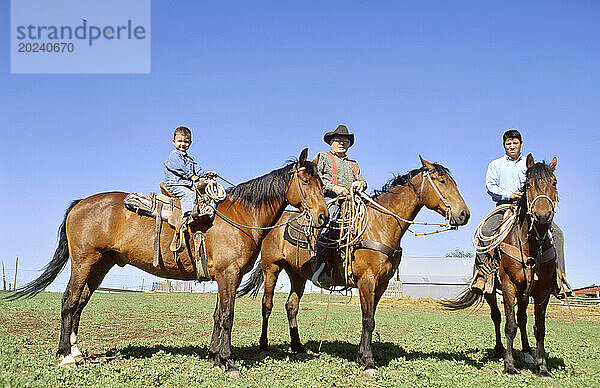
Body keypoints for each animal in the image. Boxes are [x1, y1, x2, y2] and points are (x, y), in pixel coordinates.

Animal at [5, 148, 328, 376]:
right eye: (305, 180)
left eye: (321, 183)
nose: (323, 216)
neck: (238, 216)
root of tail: (80, 203)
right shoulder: (229, 274)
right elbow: (227, 316)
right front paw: (227, 362)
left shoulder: (223, 277)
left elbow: (217, 315)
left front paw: (214, 357)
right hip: (84, 261)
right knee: (69, 301)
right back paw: (64, 356)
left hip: (100, 265)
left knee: (80, 303)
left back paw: (76, 351)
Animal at [238, 156, 468, 374]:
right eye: (441, 181)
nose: (464, 214)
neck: (380, 226)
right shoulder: (366, 280)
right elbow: (368, 320)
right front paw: (368, 362)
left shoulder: (382, 284)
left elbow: (370, 318)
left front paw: (361, 357)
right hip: (271, 268)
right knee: (267, 305)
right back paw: (264, 346)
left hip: (297, 275)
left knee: (291, 306)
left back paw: (298, 347)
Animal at [442, 154, 560, 376]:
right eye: (528, 184)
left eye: (554, 183)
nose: (542, 216)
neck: (531, 246)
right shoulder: (508, 286)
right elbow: (509, 325)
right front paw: (509, 365)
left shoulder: (542, 291)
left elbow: (539, 327)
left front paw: (541, 366)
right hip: (490, 291)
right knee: (496, 317)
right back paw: (498, 349)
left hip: (524, 294)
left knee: (522, 318)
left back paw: (527, 352)